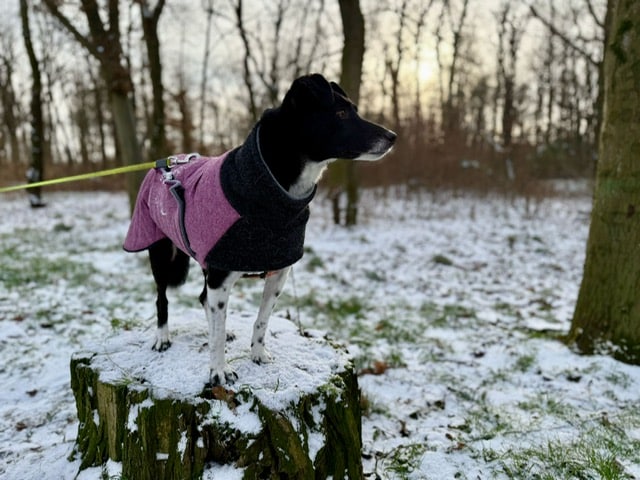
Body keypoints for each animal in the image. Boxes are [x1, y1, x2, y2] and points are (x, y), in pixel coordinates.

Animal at [124, 73, 396, 385]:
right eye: (340, 113)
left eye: (355, 110)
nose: (392, 136)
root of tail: (164, 164)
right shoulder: (220, 275)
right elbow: (217, 332)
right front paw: (219, 371)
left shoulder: (278, 273)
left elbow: (261, 320)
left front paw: (257, 354)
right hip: (159, 252)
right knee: (163, 298)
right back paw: (163, 337)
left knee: (205, 300)